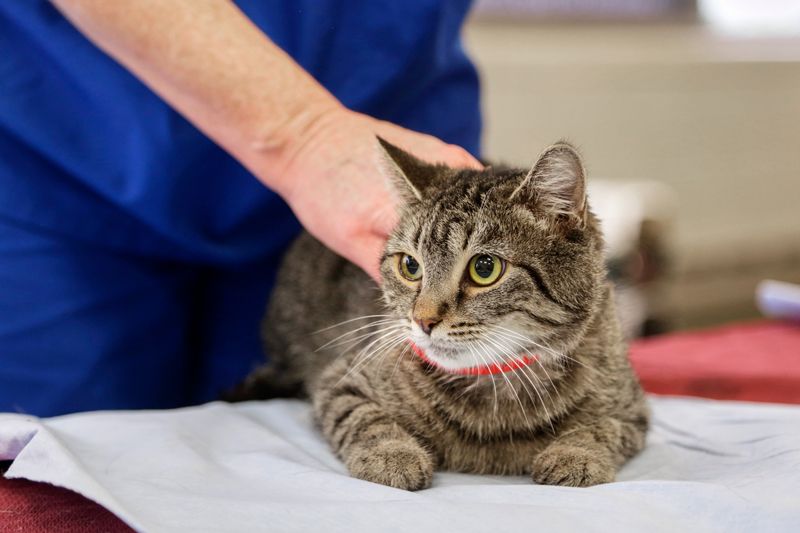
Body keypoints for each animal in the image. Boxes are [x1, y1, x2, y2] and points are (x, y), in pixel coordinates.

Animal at [230, 139, 648, 488]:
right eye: (410, 266)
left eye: (484, 268)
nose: (423, 320)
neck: (494, 389)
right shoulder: (340, 381)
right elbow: (364, 419)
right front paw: (392, 455)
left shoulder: (633, 409)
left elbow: (602, 429)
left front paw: (575, 455)